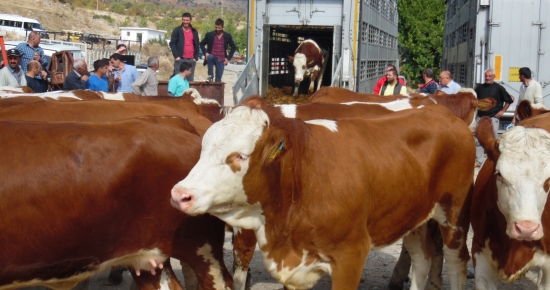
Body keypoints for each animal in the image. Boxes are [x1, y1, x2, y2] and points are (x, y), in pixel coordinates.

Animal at [171, 103, 474, 288]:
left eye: (240, 156)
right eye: (203, 149)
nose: (180, 194)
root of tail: (440, 111)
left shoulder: (351, 256)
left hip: (454, 217)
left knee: (457, 262)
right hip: (413, 216)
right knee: (422, 258)